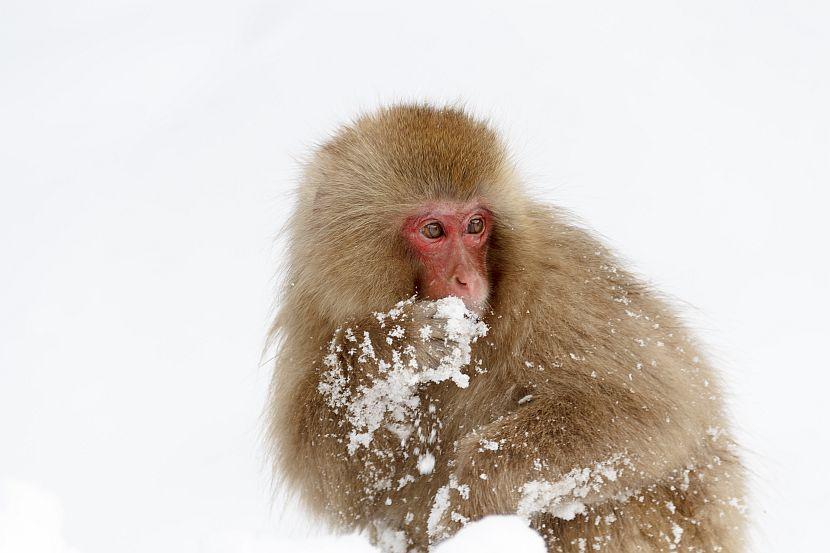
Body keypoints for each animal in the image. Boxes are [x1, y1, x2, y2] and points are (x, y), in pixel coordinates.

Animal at [270, 104, 752, 552]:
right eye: (433, 230)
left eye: (476, 225)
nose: (469, 279)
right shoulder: (317, 309)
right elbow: (344, 482)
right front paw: (392, 347)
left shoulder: (556, 287)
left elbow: (650, 411)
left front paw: (468, 498)